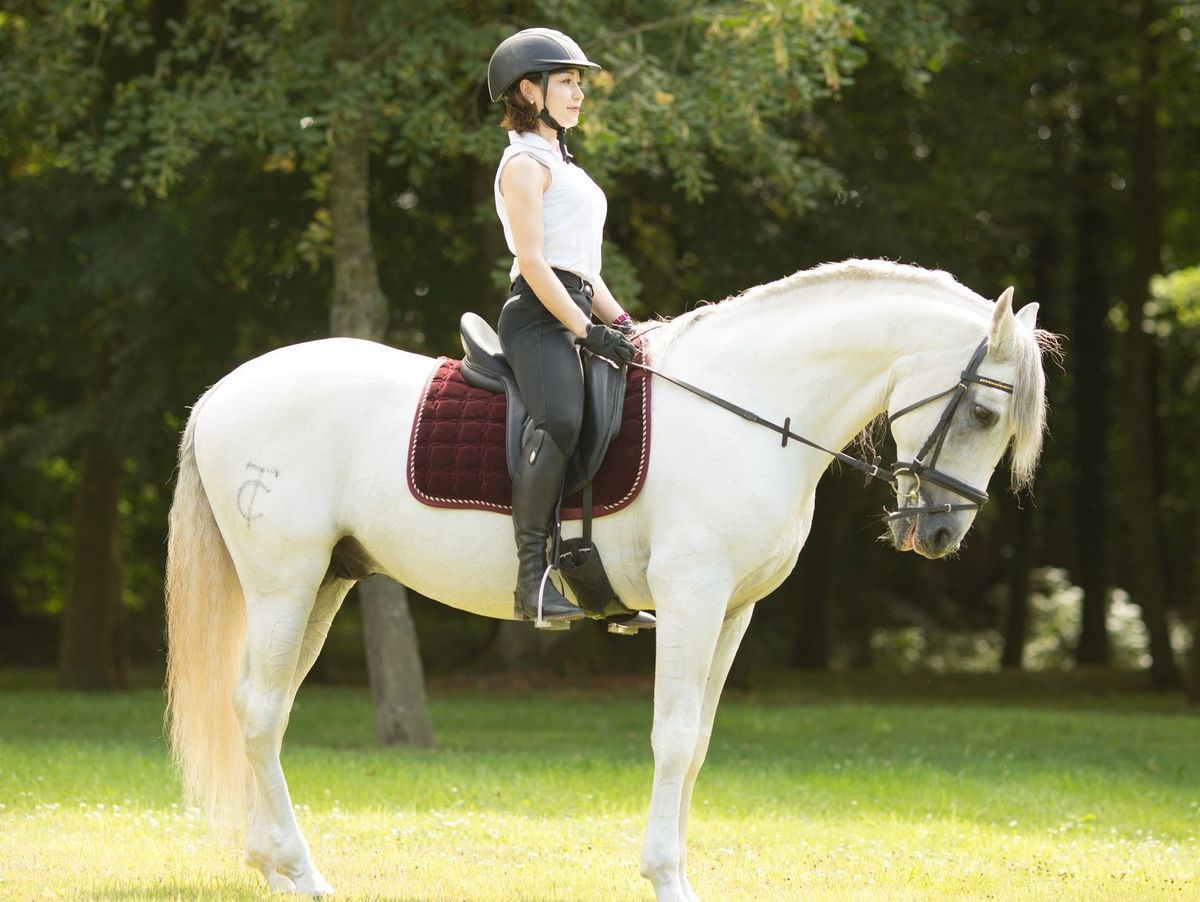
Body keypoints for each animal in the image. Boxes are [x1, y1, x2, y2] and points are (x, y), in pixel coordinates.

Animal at [166, 256, 1051, 897]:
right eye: (981, 413)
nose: (940, 534)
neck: (754, 410)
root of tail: (222, 392)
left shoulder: (733, 612)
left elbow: (697, 741)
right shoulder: (692, 599)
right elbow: (671, 737)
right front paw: (667, 880)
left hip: (326, 583)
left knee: (266, 712)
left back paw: (275, 866)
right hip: (284, 583)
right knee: (257, 711)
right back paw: (301, 869)